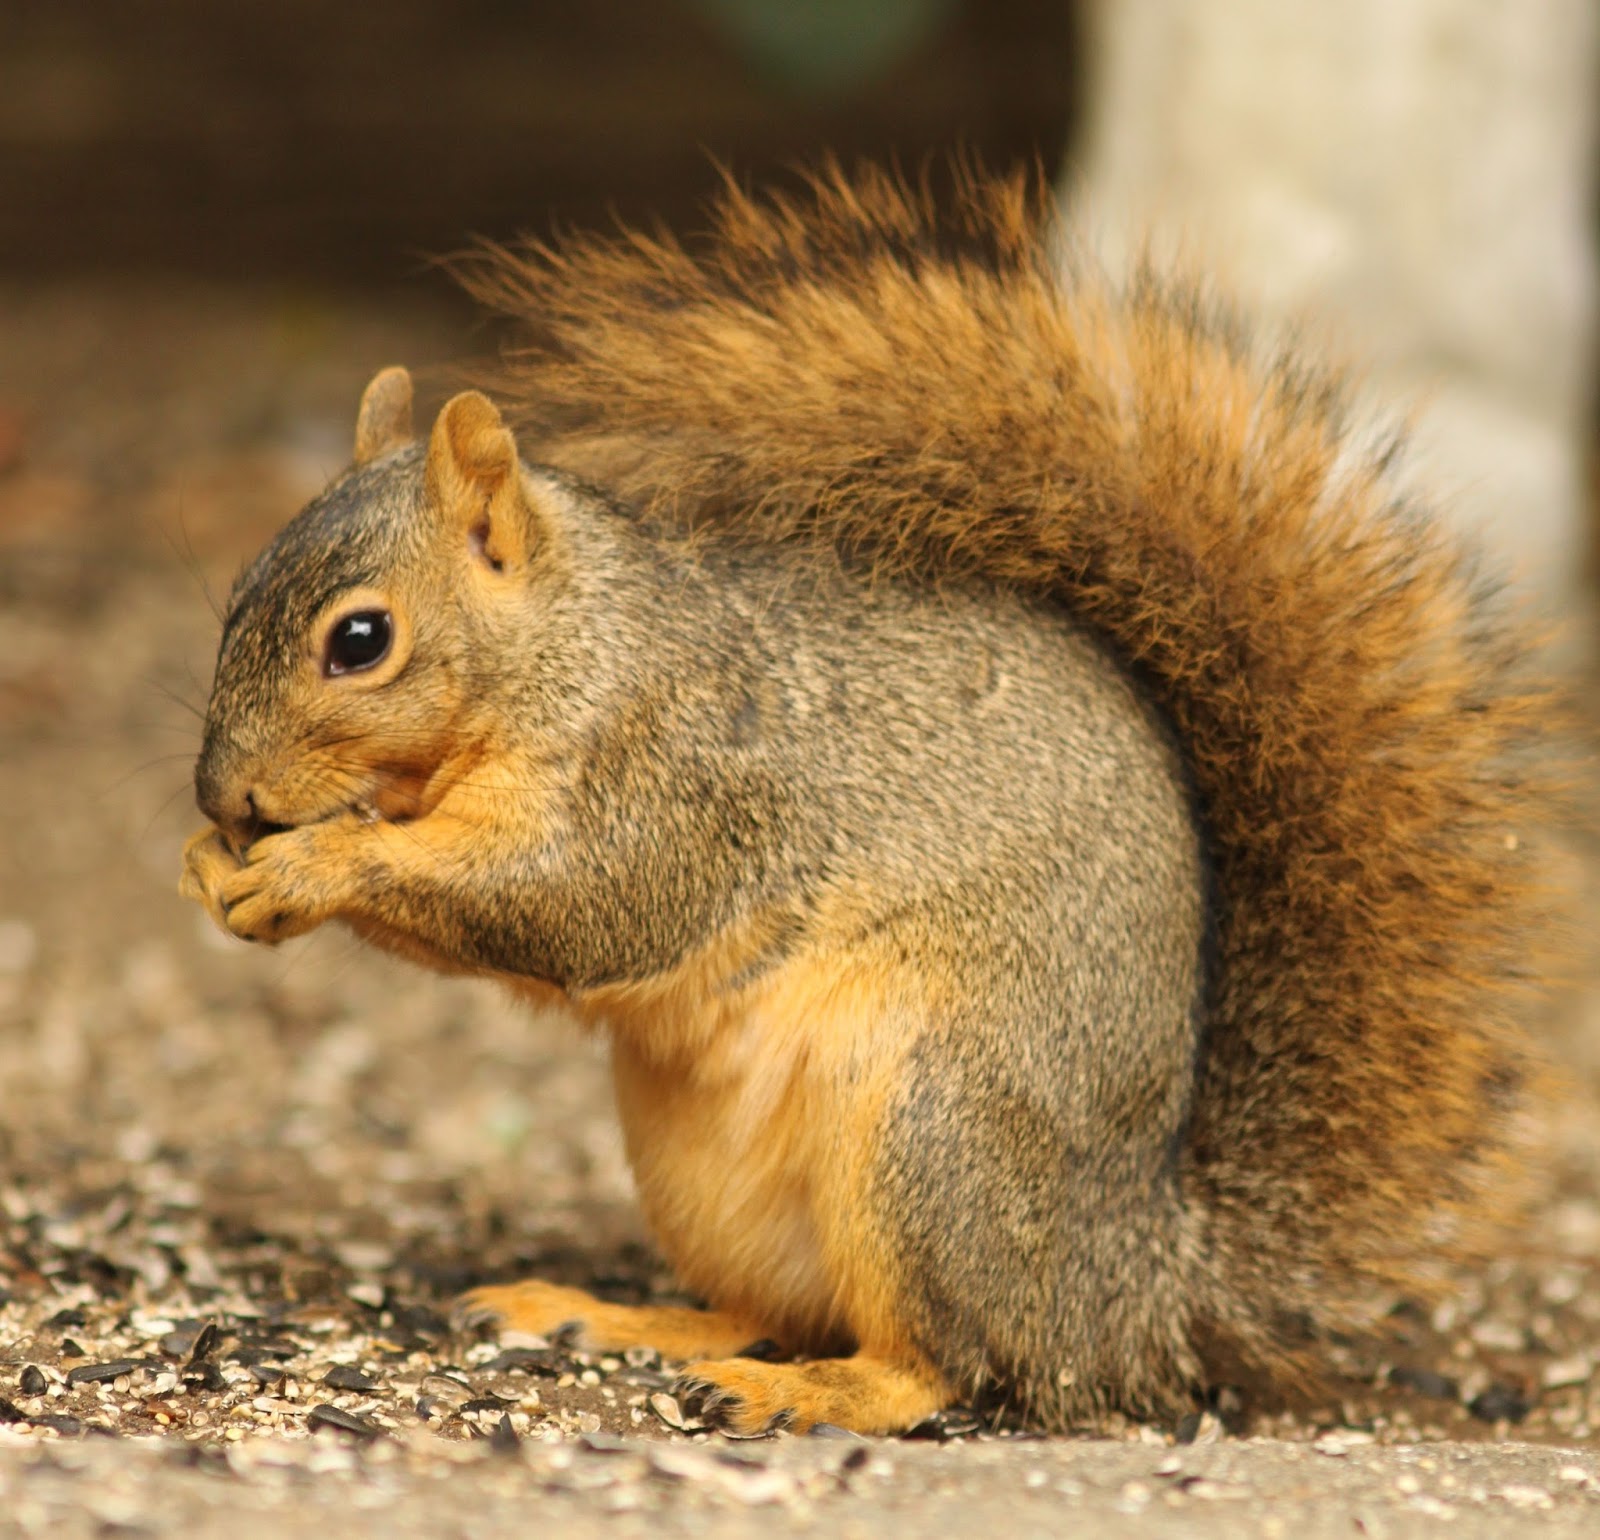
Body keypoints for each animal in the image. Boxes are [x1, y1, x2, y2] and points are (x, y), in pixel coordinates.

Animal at [179, 165, 1557, 1437]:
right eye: (238, 590)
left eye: (361, 640)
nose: (224, 794)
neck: (573, 642)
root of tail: (1141, 1286)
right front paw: (208, 863)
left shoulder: (681, 779)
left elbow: (575, 906)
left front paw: (311, 864)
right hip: (707, 1173)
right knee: (777, 1305)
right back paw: (614, 1314)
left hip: (934, 1136)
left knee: (942, 1360)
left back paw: (816, 1393)